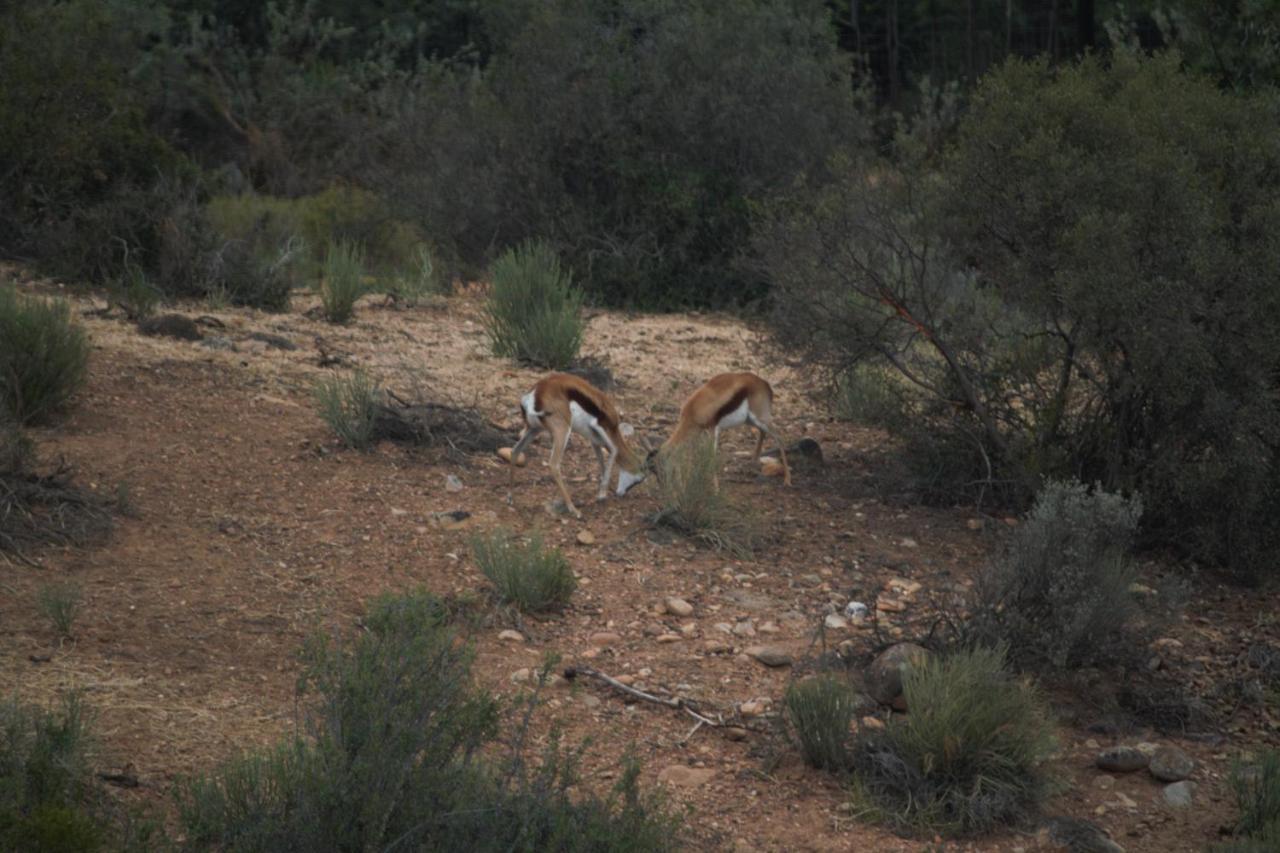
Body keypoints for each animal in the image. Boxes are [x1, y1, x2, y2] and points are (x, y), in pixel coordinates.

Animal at [506, 371, 650, 517]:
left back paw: (511, 498)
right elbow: (614, 449)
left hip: (534, 429)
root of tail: (535, 393)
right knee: (554, 464)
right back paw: (574, 510)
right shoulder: (600, 427)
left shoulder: (595, 439)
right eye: (639, 480)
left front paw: (604, 489)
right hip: (562, 430)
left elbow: (601, 460)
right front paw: (602, 495)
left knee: (515, 450)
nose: (621, 494)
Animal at [655, 371, 783, 484]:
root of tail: (765, 384)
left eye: (662, 463)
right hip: (751, 421)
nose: (662, 483)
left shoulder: (712, 429)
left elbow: (711, 457)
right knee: (763, 433)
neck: (692, 411)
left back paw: (786, 481)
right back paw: (754, 463)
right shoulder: (700, 432)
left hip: (761, 419)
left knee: (779, 437)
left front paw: (715, 490)